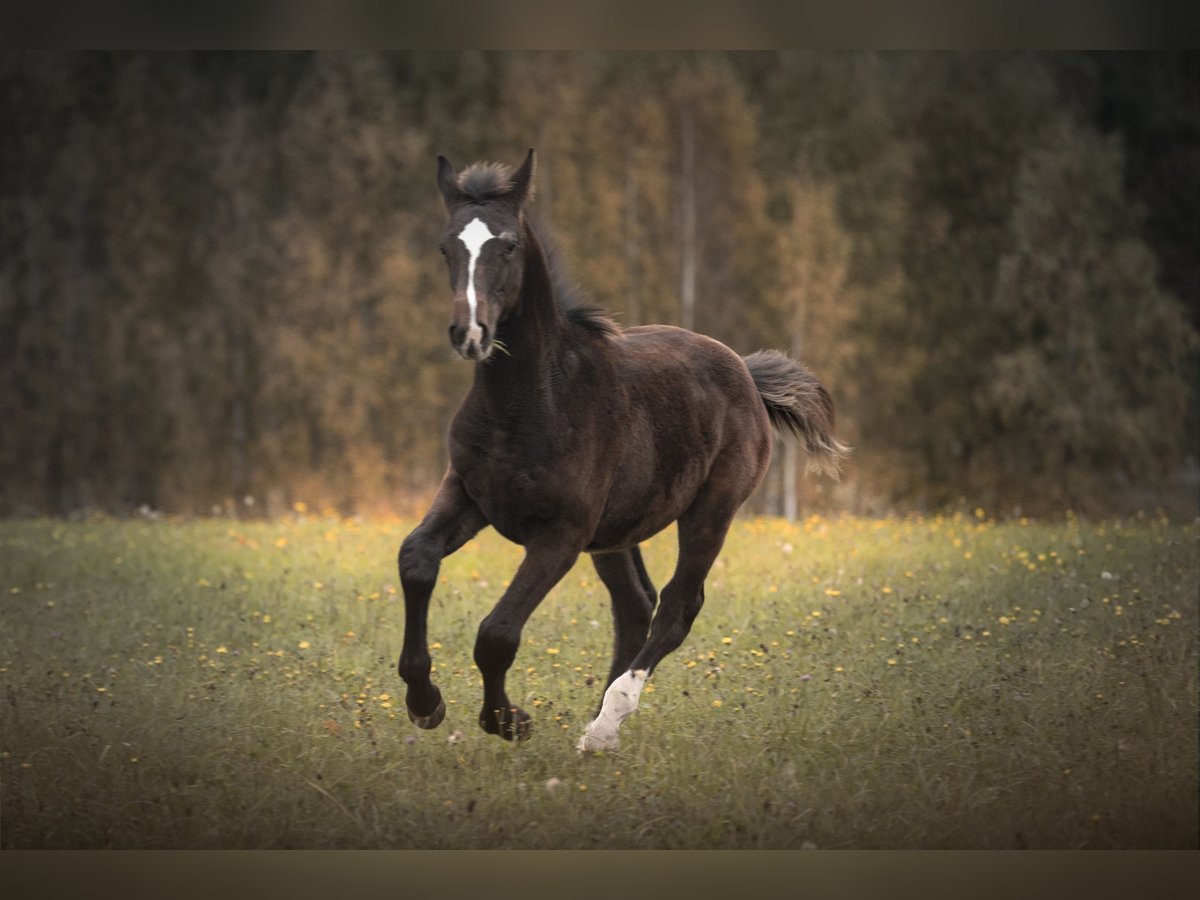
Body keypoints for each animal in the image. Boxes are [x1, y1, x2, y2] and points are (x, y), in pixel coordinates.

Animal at [398, 150, 849, 753]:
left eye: (509, 244)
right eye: (446, 247)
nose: (469, 333)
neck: (531, 402)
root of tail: (748, 377)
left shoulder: (562, 533)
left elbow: (497, 632)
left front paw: (509, 721)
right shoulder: (469, 495)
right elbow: (416, 559)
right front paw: (424, 702)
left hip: (710, 511)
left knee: (678, 606)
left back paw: (605, 724)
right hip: (617, 532)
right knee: (636, 604)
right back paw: (598, 727)